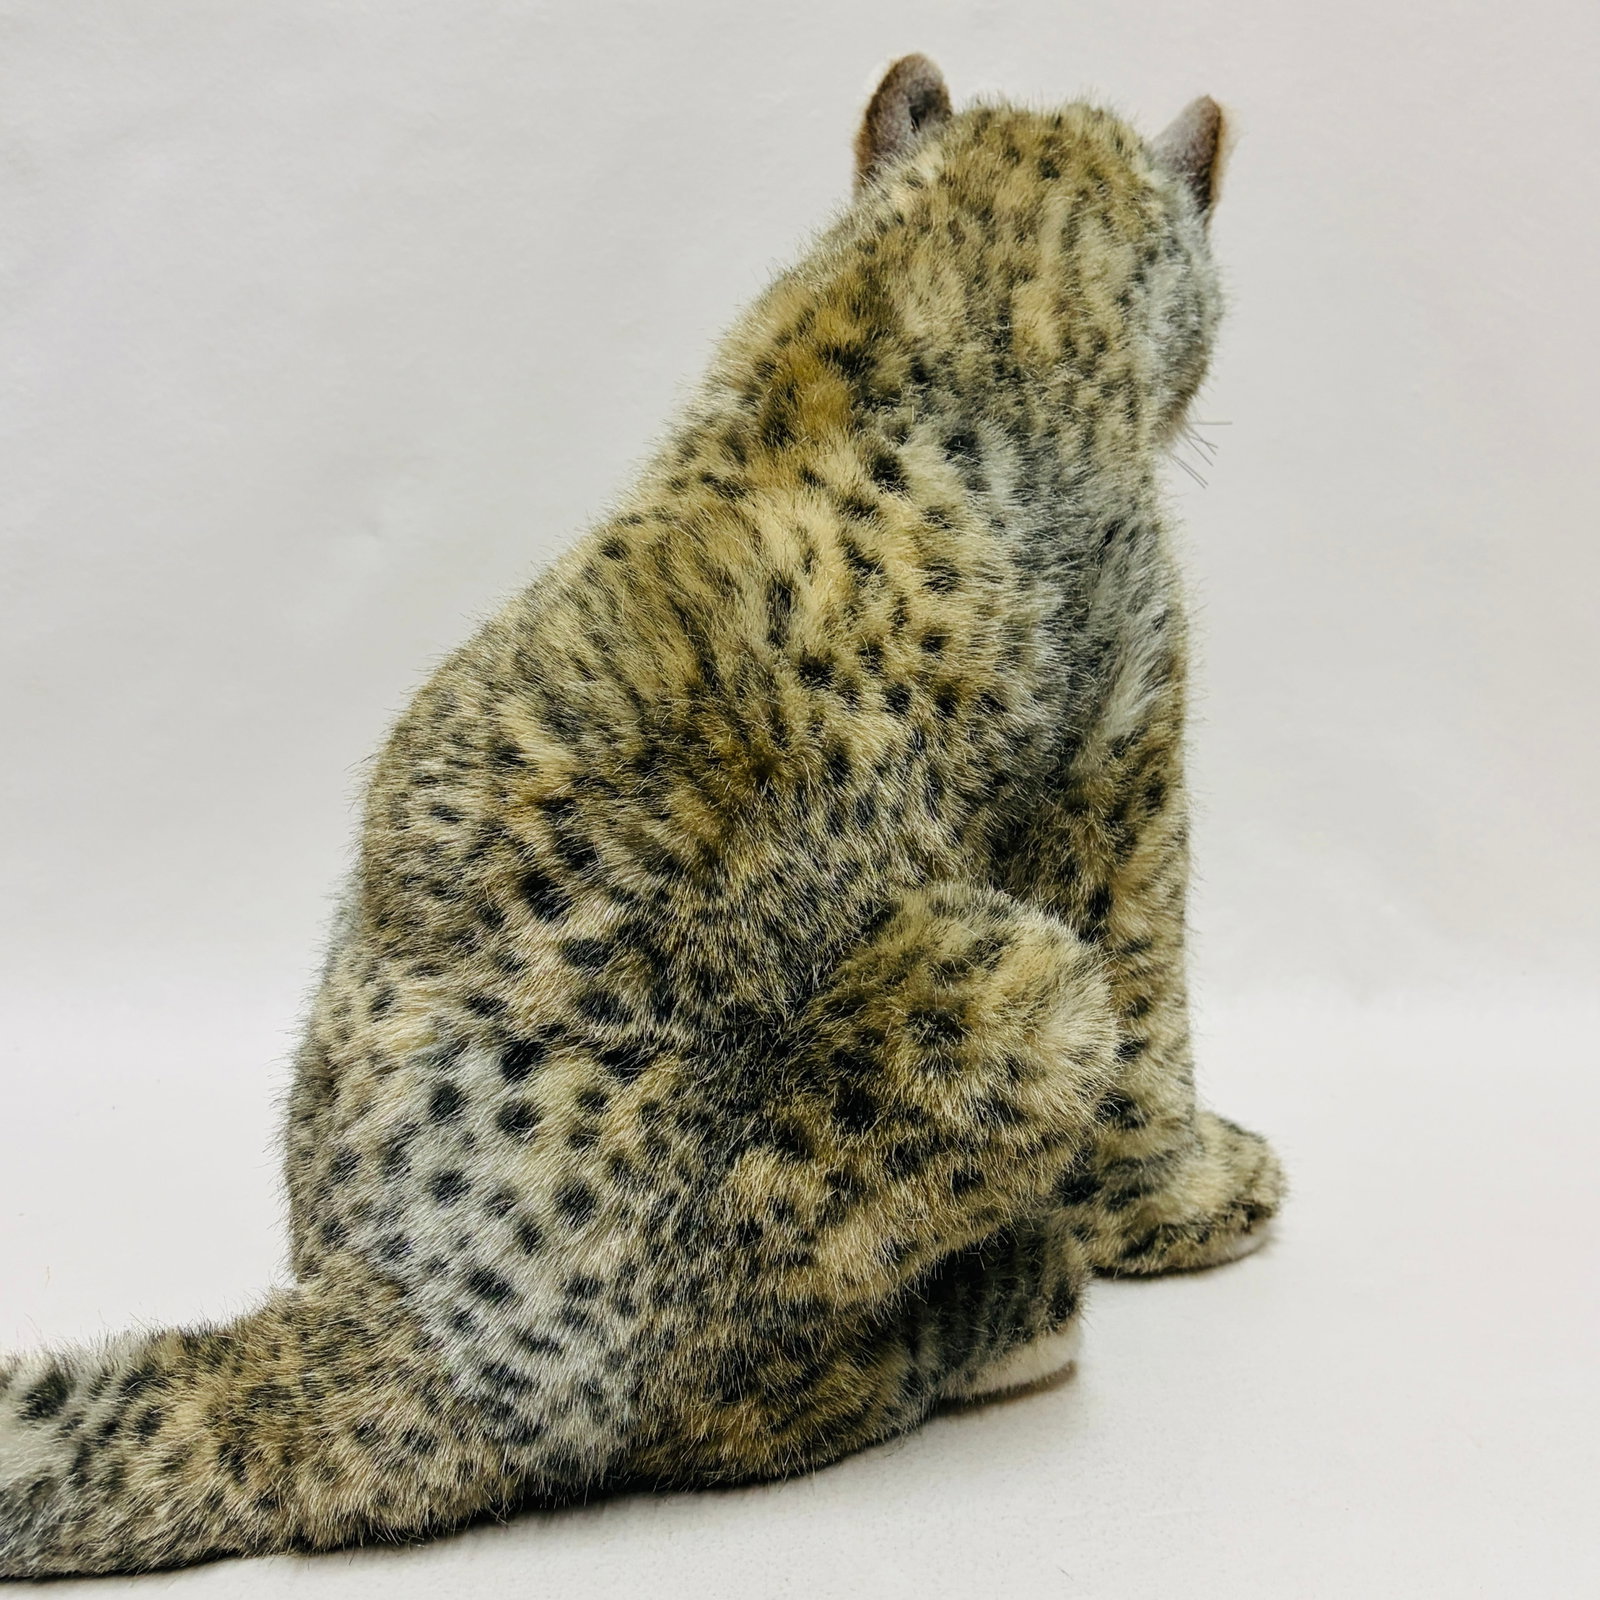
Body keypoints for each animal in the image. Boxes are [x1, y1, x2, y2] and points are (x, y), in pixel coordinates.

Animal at [0, 55, 1283, 1577]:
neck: (963, 264)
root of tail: (366, 1328)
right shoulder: (1128, 770)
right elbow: (1153, 1033)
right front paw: (1197, 1201)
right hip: (1011, 989)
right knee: (740, 1409)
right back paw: (1007, 1312)